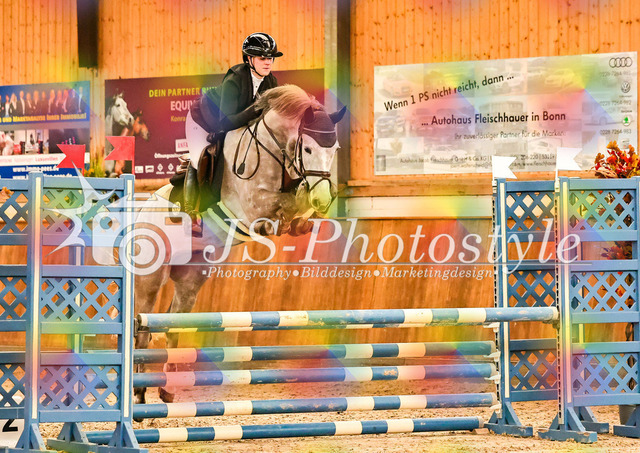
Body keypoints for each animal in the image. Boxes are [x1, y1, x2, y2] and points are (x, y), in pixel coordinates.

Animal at [131, 85, 346, 407]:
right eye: (307, 149)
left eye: (334, 151)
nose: (323, 199)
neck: (275, 149)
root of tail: (140, 215)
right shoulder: (251, 205)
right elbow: (278, 205)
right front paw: (278, 223)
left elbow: (298, 201)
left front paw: (302, 221)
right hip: (150, 279)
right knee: (143, 329)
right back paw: (139, 394)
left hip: (191, 279)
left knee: (173, 325)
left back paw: (167, 390)